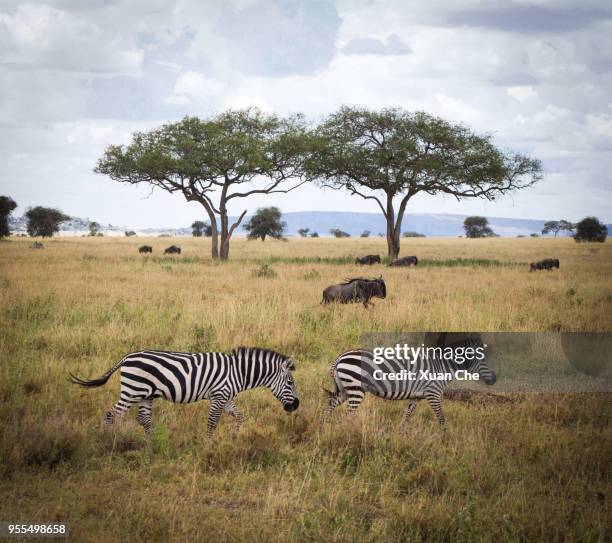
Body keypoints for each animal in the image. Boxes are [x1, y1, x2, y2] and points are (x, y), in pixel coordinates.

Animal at [70, 348, 300, 438]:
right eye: (290, 382)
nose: (296, 405)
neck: (238, 372)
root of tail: (127, 357)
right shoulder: (219, 395)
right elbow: (212, 423)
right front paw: (209, 446)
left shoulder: (226, 397)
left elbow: (240, 416)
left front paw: (235, 436)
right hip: (132, 391)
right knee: (110, 414)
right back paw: (107, 439)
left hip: (145, 394)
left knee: (144, 420)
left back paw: (151, 446)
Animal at [322, 336, 494, 430]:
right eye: (482, 359)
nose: (494, 379)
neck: (443, 366)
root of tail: (339, 358)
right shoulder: (433, 393)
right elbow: (441, 417)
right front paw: (446, 439)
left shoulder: (416, 396)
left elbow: (407, 415)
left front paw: (399, 434)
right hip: (355, 389)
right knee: (348, 414)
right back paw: (348, 432)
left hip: (345, 389)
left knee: (330, 405)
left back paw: (324, 428)